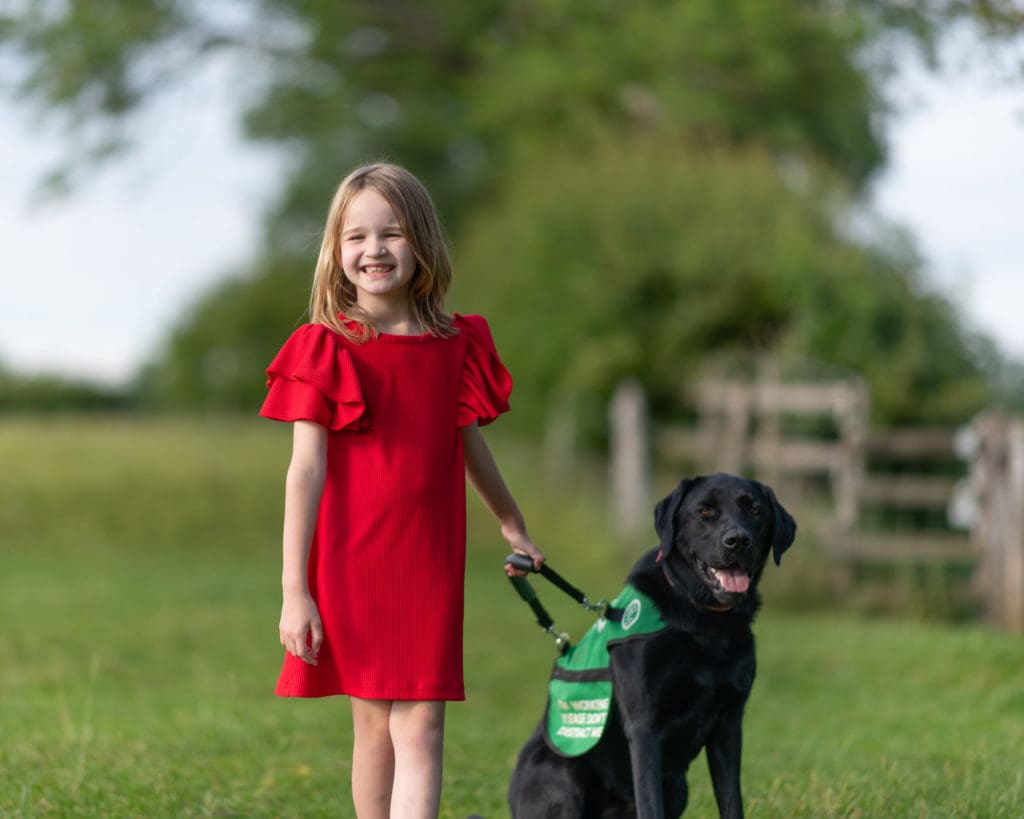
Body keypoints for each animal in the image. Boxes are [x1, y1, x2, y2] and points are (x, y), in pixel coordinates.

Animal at [507, 472, 794, 818]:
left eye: (754, 510)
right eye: (705, 511)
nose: (737, 540)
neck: (704, 623)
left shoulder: (728, 725)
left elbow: (731, 802)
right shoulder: (644, 727)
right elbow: (650, 803)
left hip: (679, 787)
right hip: (562, 776)